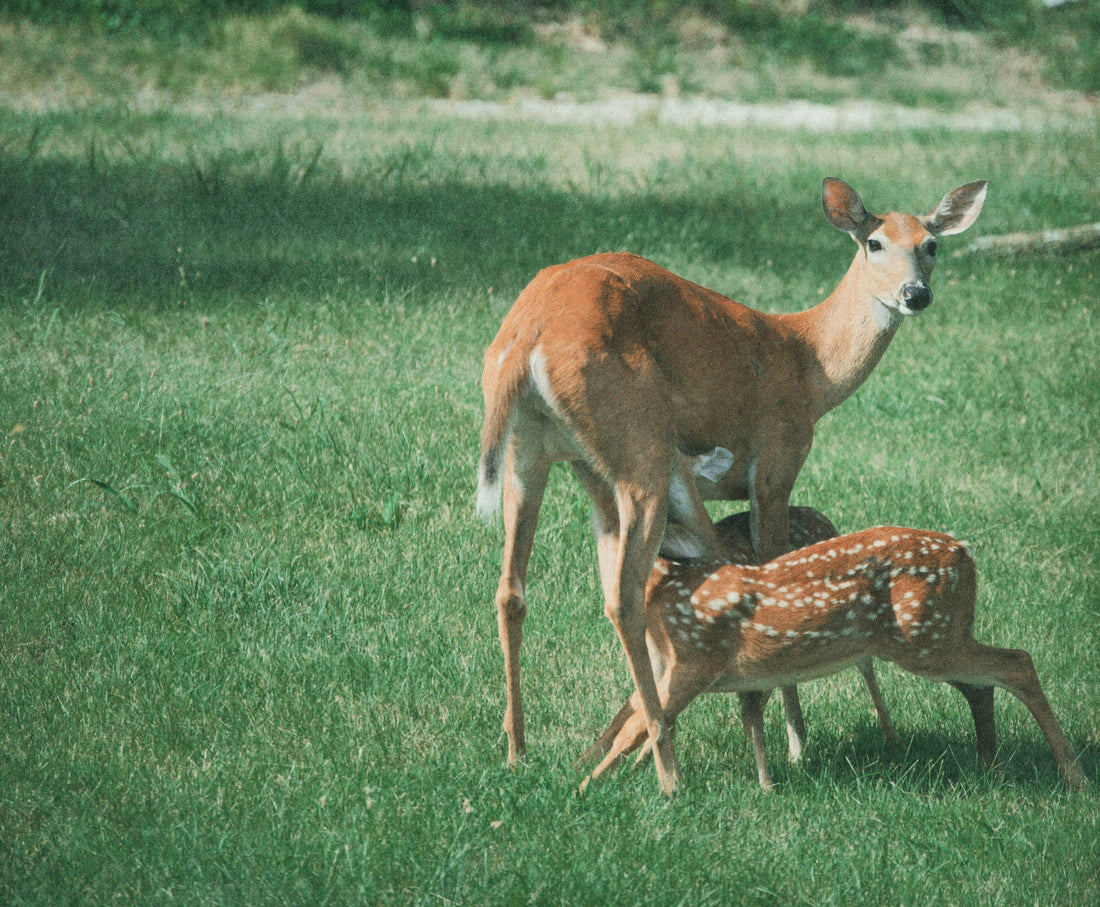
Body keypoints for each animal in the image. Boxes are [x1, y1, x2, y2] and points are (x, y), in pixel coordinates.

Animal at [479, 179, 990, 791]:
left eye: (931, 244)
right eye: (874, 243)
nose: (915, 294)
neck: (810, 365)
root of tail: (526, 330)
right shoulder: (776, 461)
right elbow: (774, 568)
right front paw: (796, 743)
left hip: (534, 453)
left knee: (511, 589)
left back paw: (520, 752)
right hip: (641, 446)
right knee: (622, 598)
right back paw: (667, 768)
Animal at [580, 523, 1086, 791]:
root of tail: (965, 554)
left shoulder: (695, 657)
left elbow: (637, 723)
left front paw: (588, 790)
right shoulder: (672, 664)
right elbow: (634, 714)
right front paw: (588, 773)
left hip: (928, 640)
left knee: (1017, 662)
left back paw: (1073, 775)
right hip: (938, 636)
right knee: (986, 682)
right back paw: (990, 765)